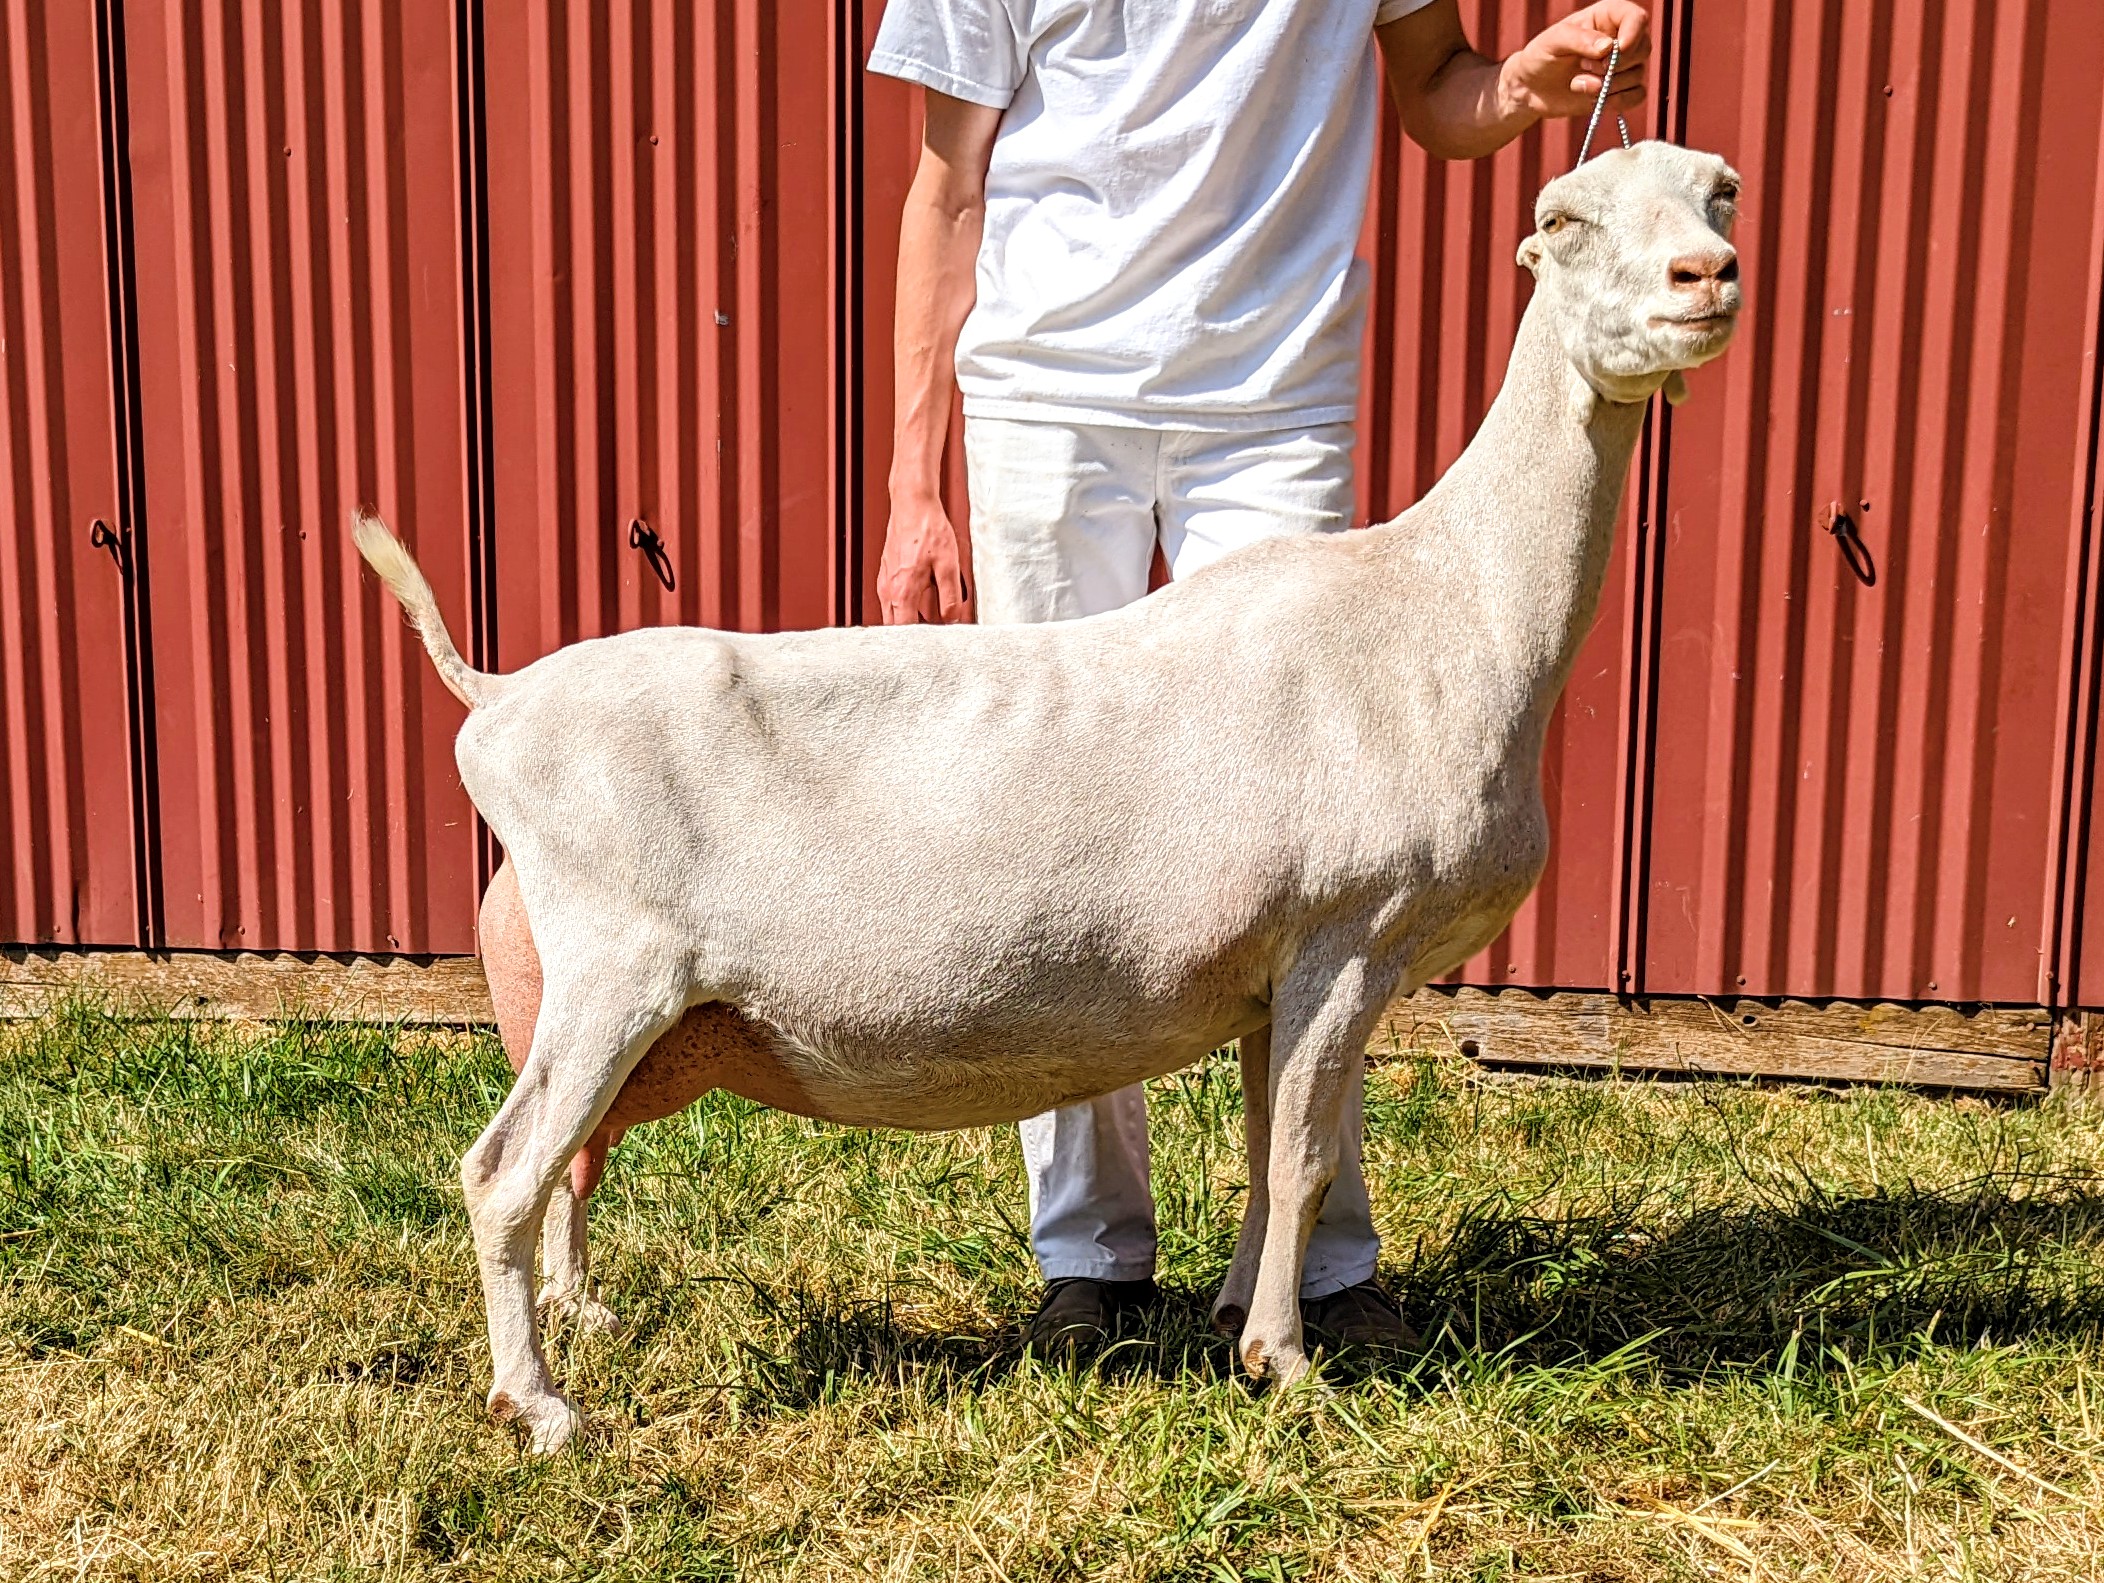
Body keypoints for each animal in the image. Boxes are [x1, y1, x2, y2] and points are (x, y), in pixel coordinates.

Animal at [357, 142, 1742, 1456]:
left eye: (1719, 191)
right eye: (1561, 219)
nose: (1709, 276)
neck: (1449, 602)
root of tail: (495, 697)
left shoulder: (1271, 969)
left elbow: (1262, 1153)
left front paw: (1236, 1319)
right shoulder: (1350, 933)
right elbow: (1304, 1161)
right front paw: (1287, 1367)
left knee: (563, 1166)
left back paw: (577, 1317)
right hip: (613, 968)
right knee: (502, 1173)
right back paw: (540, 1407)